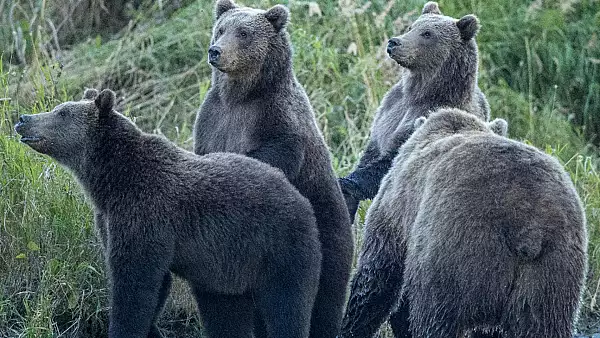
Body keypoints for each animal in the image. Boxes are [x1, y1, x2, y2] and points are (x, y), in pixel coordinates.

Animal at [14, 89, 324, 338]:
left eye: (62, 112)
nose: (22, 118)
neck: (111, 181)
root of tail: (299, 197)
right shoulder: (111, 219)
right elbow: (153, 289)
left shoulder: (146, 214)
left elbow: (135, 287)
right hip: (225, 272)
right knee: (224, 314)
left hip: (279, 248)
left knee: (287, 306)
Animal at [192, 1, 354, 336]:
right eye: (221, 29)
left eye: (244, 33)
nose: (216, 51)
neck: (240, 96)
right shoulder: (213, 119)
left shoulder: (274, 115)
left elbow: (280, 153)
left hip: (328, 238)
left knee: (325, 301)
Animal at [340, 1, 490, 224]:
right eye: (412, 27)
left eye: (427, 33)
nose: (394, 42)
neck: (419, 92)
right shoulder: (389, 111)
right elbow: (372, 151)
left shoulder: (427, 114)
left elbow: (391, 161)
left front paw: (346, 184)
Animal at [342, 109, 584, 338]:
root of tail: (528, 229)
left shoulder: (396, 208)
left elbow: (377, 278)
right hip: (552, 273)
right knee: (543, 324)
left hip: (460, 251)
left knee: (436, 317)